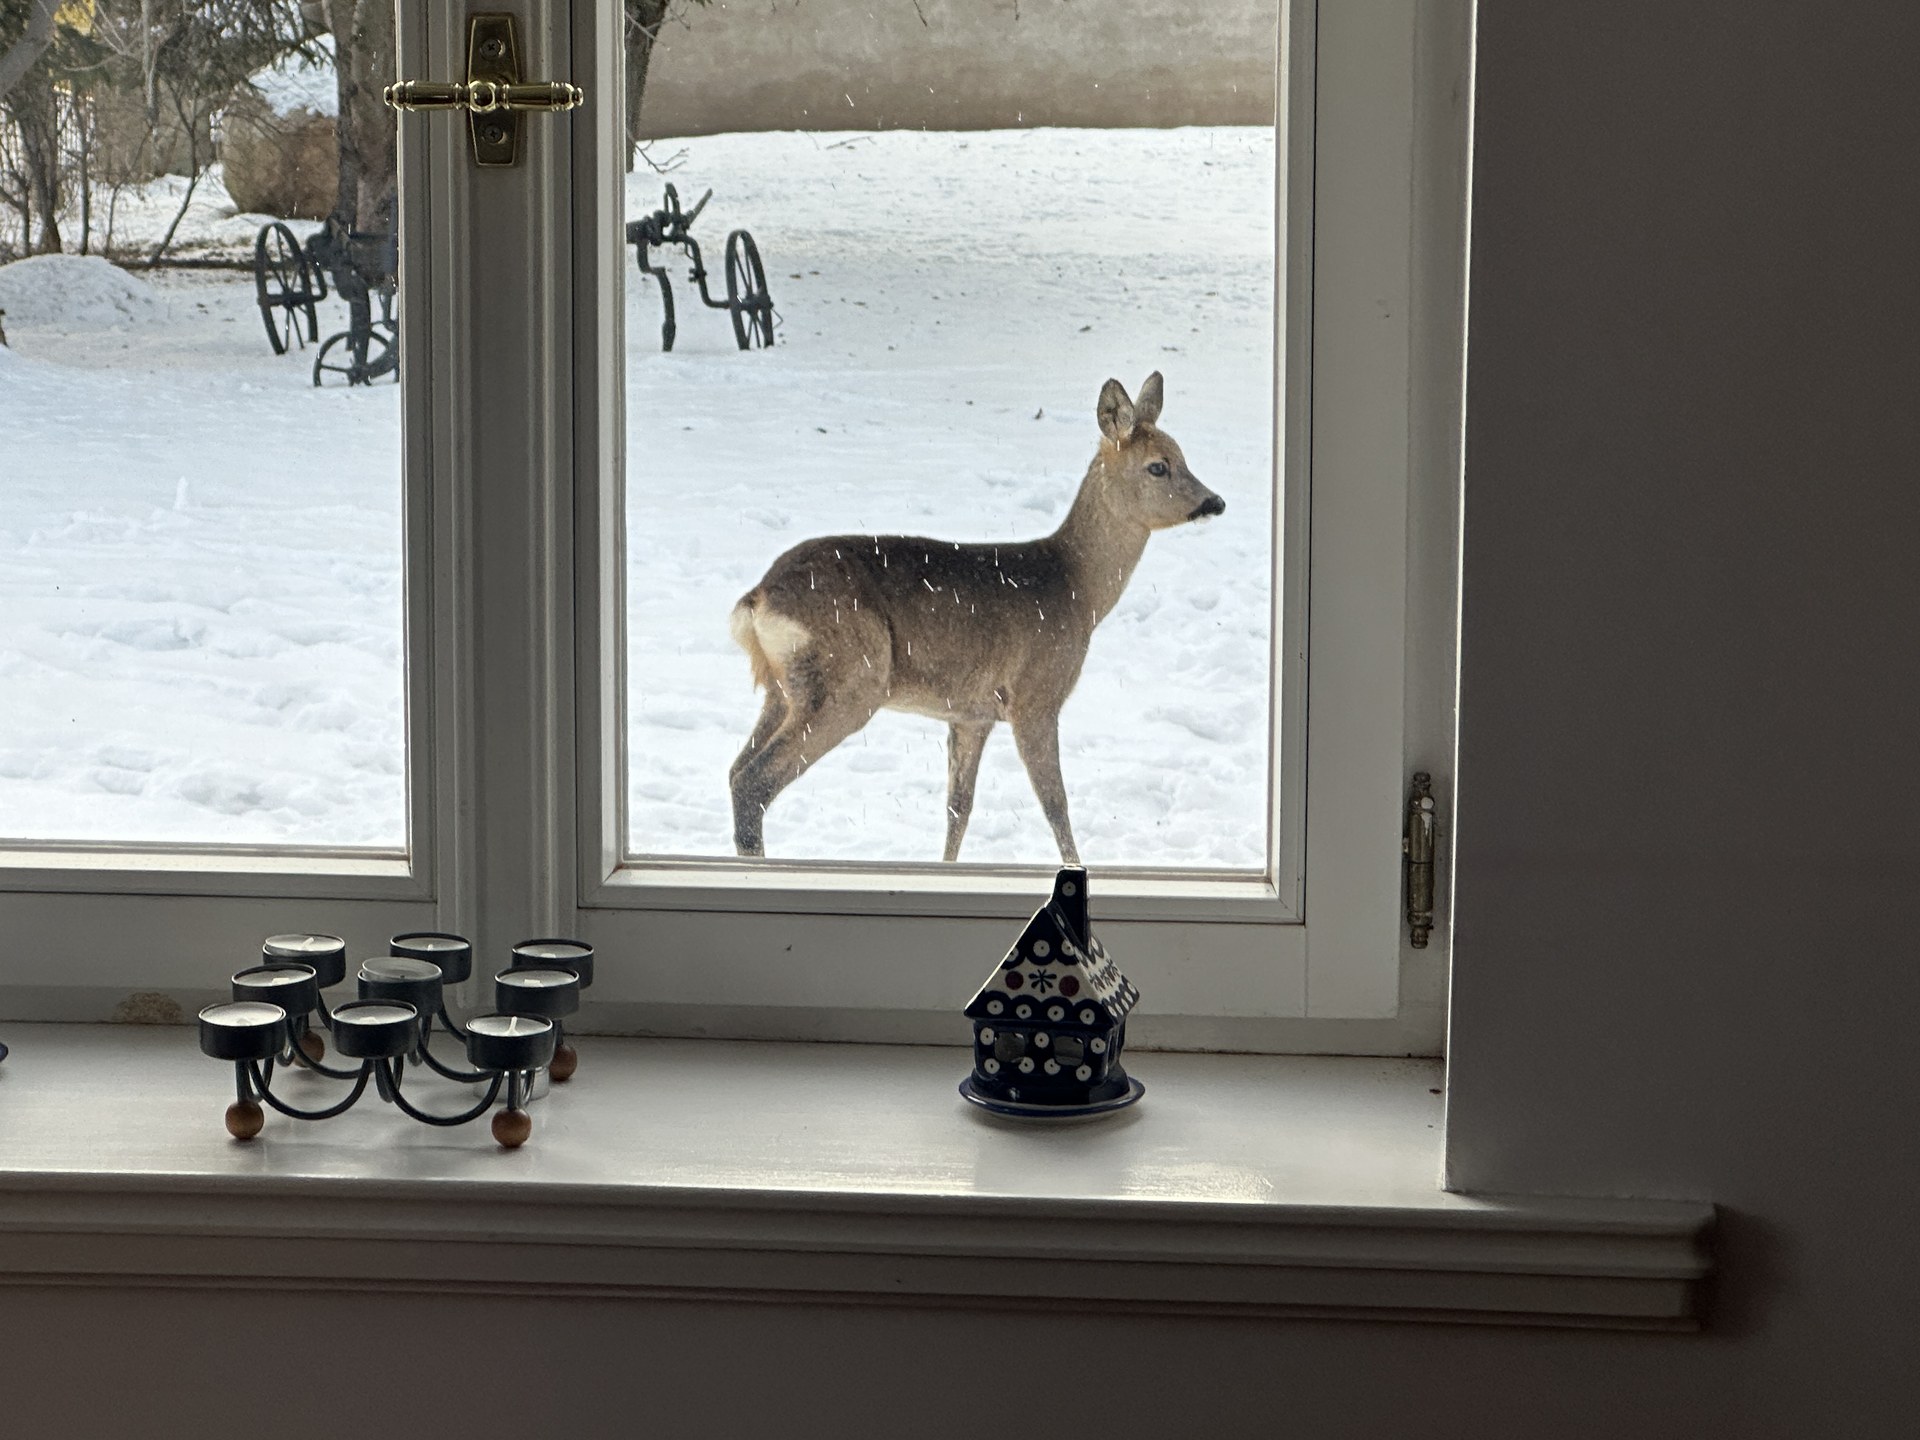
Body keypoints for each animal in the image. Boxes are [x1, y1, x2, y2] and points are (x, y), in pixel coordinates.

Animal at [728, 371, 1224, 863]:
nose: (1214, 502)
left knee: (735, 772)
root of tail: (757, 598)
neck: (1077, 591)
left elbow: (958, 807)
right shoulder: (1035, 696)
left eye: (1183, 456)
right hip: (849, 681)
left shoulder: (971, 713)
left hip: (782, 689)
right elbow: (1056, 804)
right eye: (1158, 466)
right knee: (755, 782)